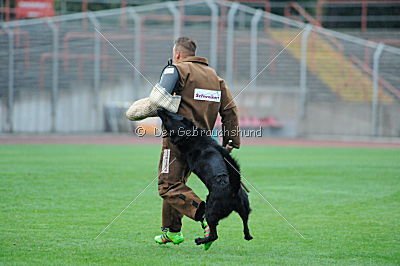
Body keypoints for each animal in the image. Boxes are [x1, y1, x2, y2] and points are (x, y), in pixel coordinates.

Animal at [157, 108, 253, 247]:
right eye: (176, 114)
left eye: (170, 117)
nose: (160, 108)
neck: (192, 135)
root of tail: (233, 191)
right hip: (244, 208)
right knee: (245, 224)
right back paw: (247, 236)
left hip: (211, 210)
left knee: (214, 234)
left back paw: (200, 240)